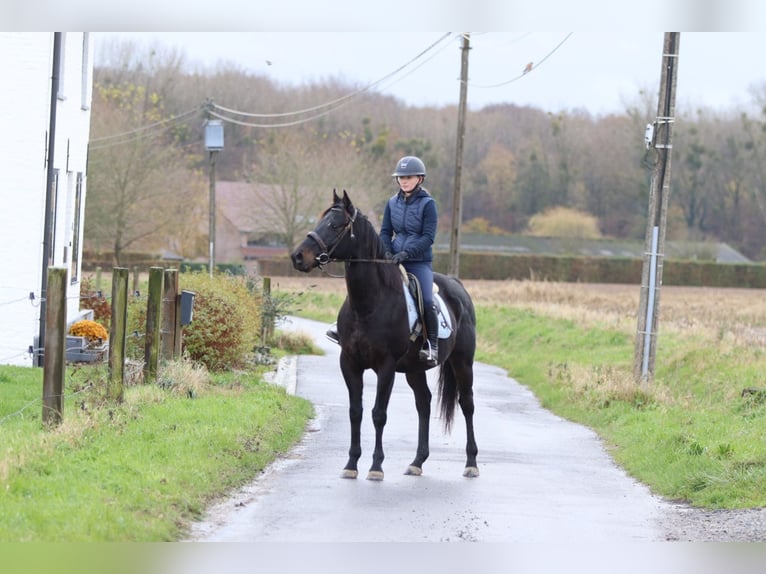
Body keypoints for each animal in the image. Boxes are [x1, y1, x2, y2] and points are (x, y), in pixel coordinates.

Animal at [290, 189, 479, 480]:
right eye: (321, 220)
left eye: (336, 225)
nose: (298, 257)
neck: (369, 304)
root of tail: (458, 286)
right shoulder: (350, 364)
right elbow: (355, 412)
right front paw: (351, 464)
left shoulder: (386, 367)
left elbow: (379, 413)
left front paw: (376, 467)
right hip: (414, 369)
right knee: (423, 403)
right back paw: (417, 462)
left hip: (462, 362)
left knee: (466, 404)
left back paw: (471, 463)